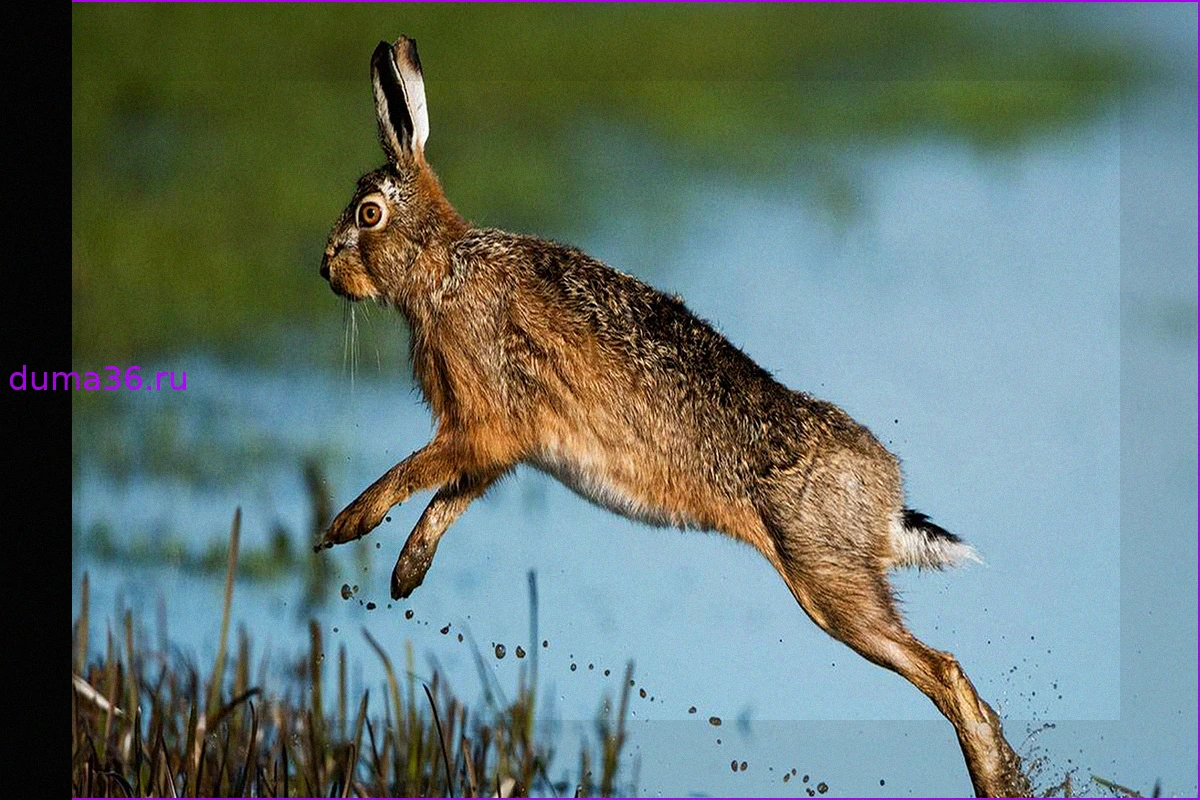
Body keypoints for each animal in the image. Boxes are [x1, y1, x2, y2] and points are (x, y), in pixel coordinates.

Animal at [314, 36, 1031, 798]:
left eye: (368, 215)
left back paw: (996, 777)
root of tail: (886, 493)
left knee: (945, 673)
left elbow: (416, 470)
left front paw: (345, 526)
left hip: (827, 580)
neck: (440, 267)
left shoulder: (482, 420)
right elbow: (451, 495)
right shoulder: (501, 446)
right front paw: (405, 575)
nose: (323, 268)